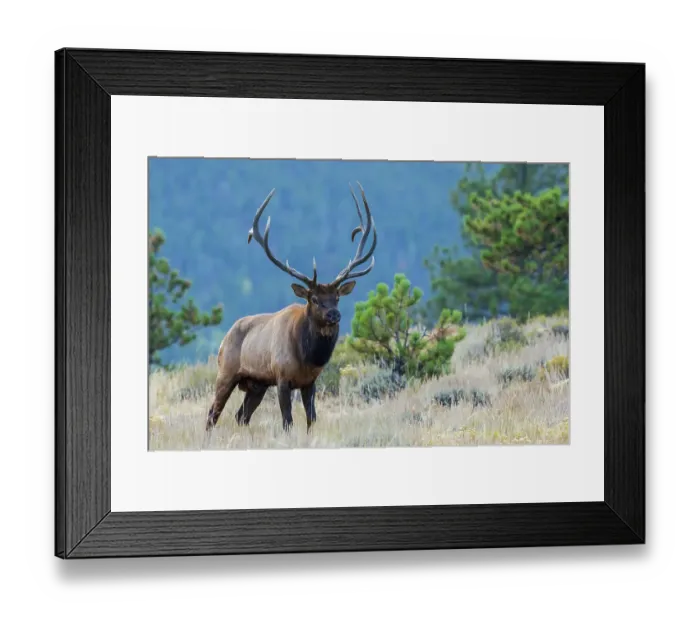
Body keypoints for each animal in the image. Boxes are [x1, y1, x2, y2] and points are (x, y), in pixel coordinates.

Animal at [205, 182, 378, 433]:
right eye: (314, 298)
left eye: (337, 297)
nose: (334, 314)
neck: (308, 357)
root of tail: (224, 338)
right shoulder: (282, 378)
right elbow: (287, 420)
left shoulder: (310, 382)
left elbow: (311, 419)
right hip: (226, 372)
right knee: (212, 414)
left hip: (257, 385)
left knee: (241, 416)